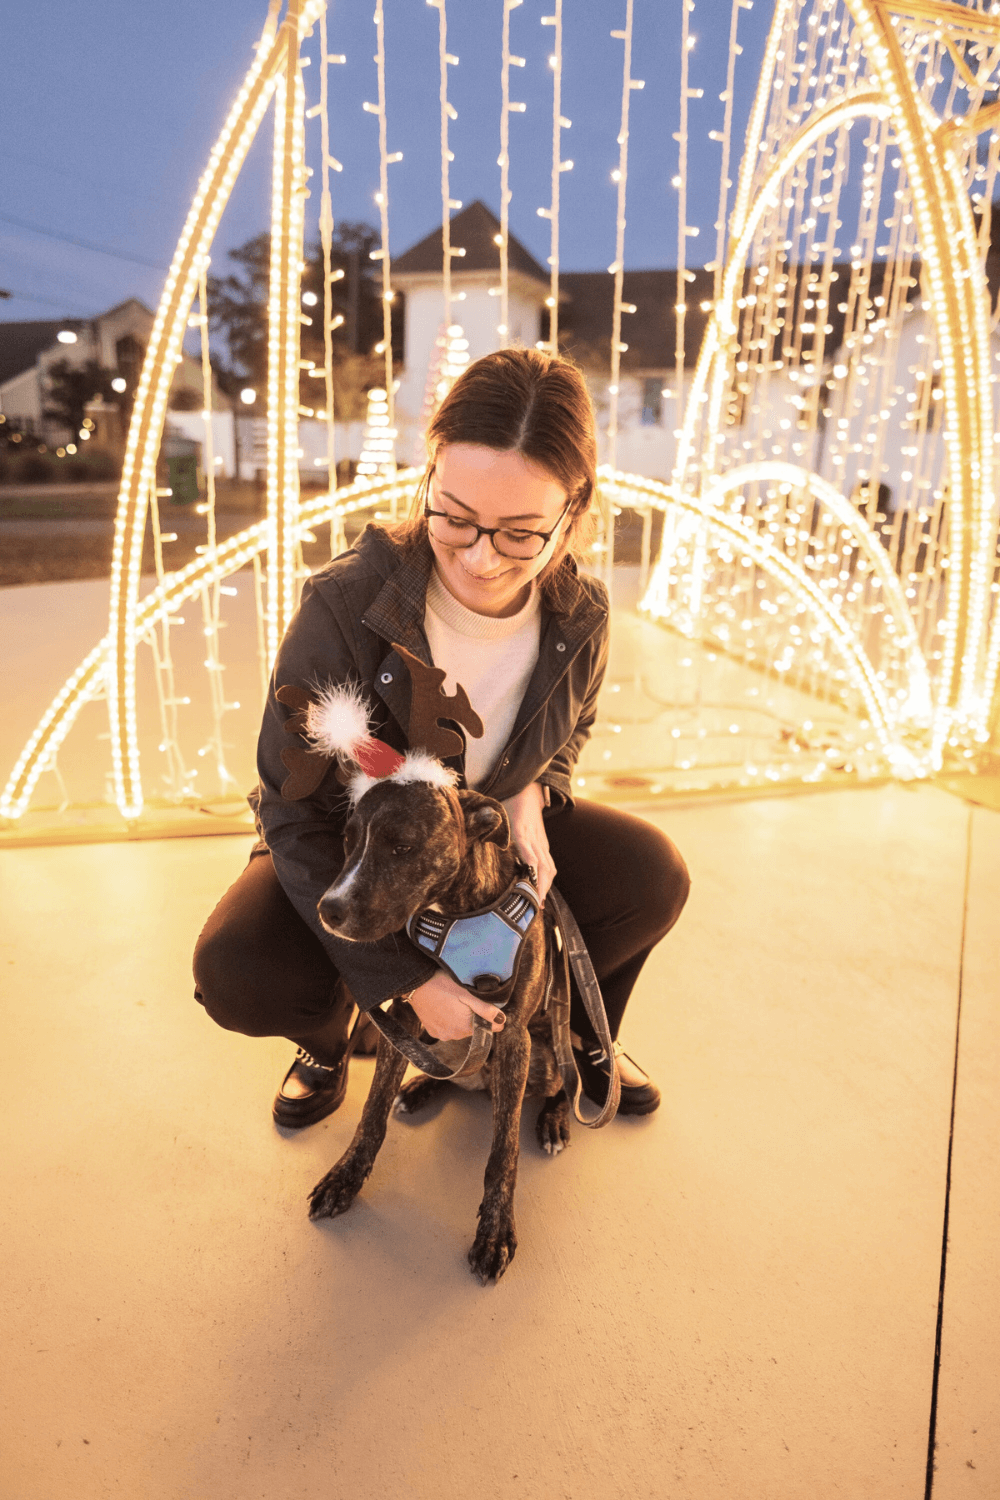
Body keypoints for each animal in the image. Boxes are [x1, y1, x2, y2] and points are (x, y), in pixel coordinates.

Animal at [305, 780, 569, 1284]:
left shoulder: (513, 1035)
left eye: (403, 847)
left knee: (569, 1074)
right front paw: (344, 1179)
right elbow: (371, 1113)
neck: (455, 914)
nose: (327, 910)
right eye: (348, 841)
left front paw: (494, 1232)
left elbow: (503, 1150)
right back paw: (420, 1088)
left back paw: (555, 1119)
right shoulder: (406, 1015)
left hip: (542, 1058)